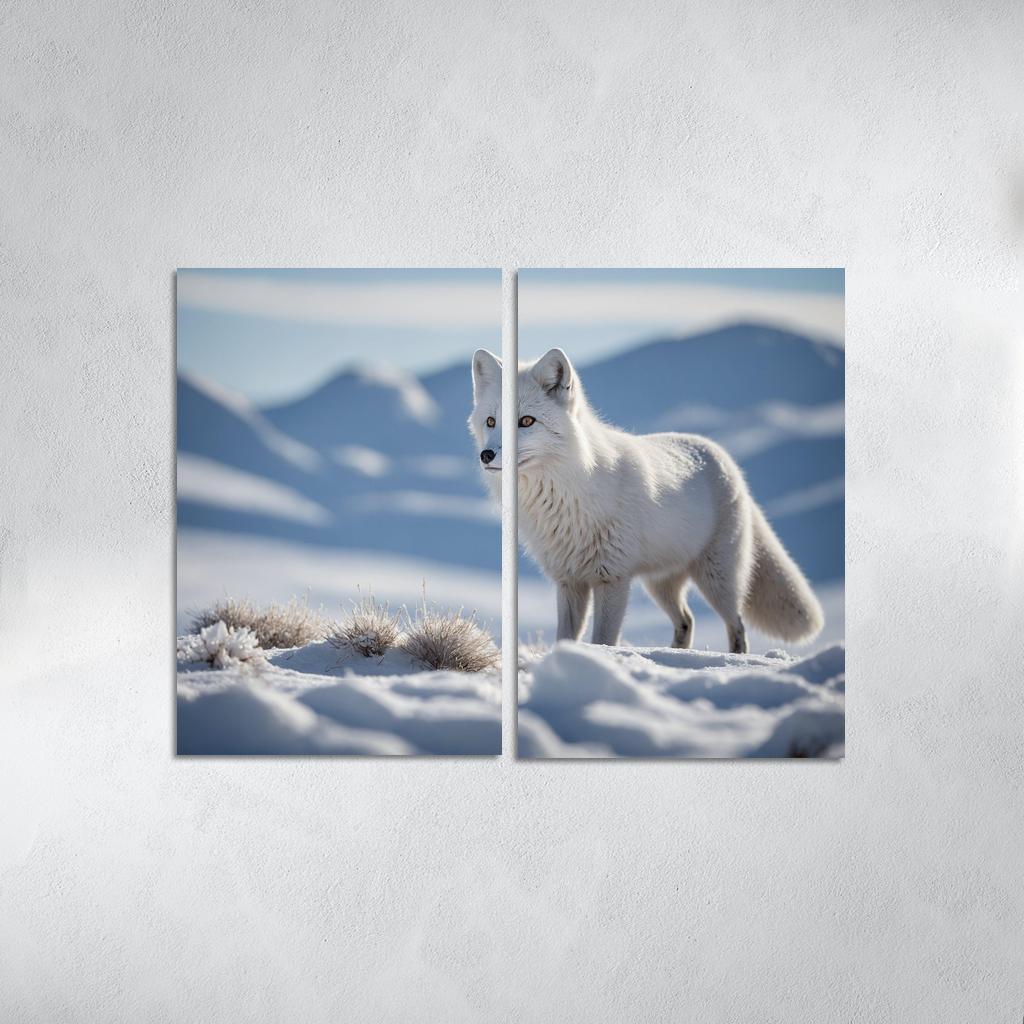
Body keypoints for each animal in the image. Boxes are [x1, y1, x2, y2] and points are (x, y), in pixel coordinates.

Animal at [469, 347, 823, 654]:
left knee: (737, 626)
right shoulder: (570, 581)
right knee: (687, 620)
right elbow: (566, 637)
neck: (567, 494)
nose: (486, 455)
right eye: (491, 421)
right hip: (660, 584)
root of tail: (722, 456)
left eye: (526, 421)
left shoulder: (612, 578)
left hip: (718, 580)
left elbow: (603, 640)